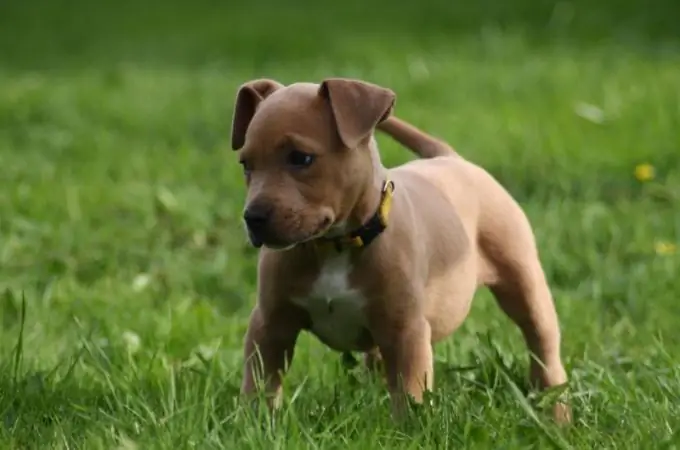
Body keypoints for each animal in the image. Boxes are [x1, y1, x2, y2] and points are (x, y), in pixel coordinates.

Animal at [231, 76, 572, 422]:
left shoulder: (405, 331)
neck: (335, 245)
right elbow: (259, 385)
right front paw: (255, 424)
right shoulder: (270, 324)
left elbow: (408, 396)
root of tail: (450, 158)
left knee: (543, 346)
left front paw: (407, 428)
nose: (253, 217)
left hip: (523, 281)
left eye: (301, 158)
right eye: (246, 164)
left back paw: (557, 412)